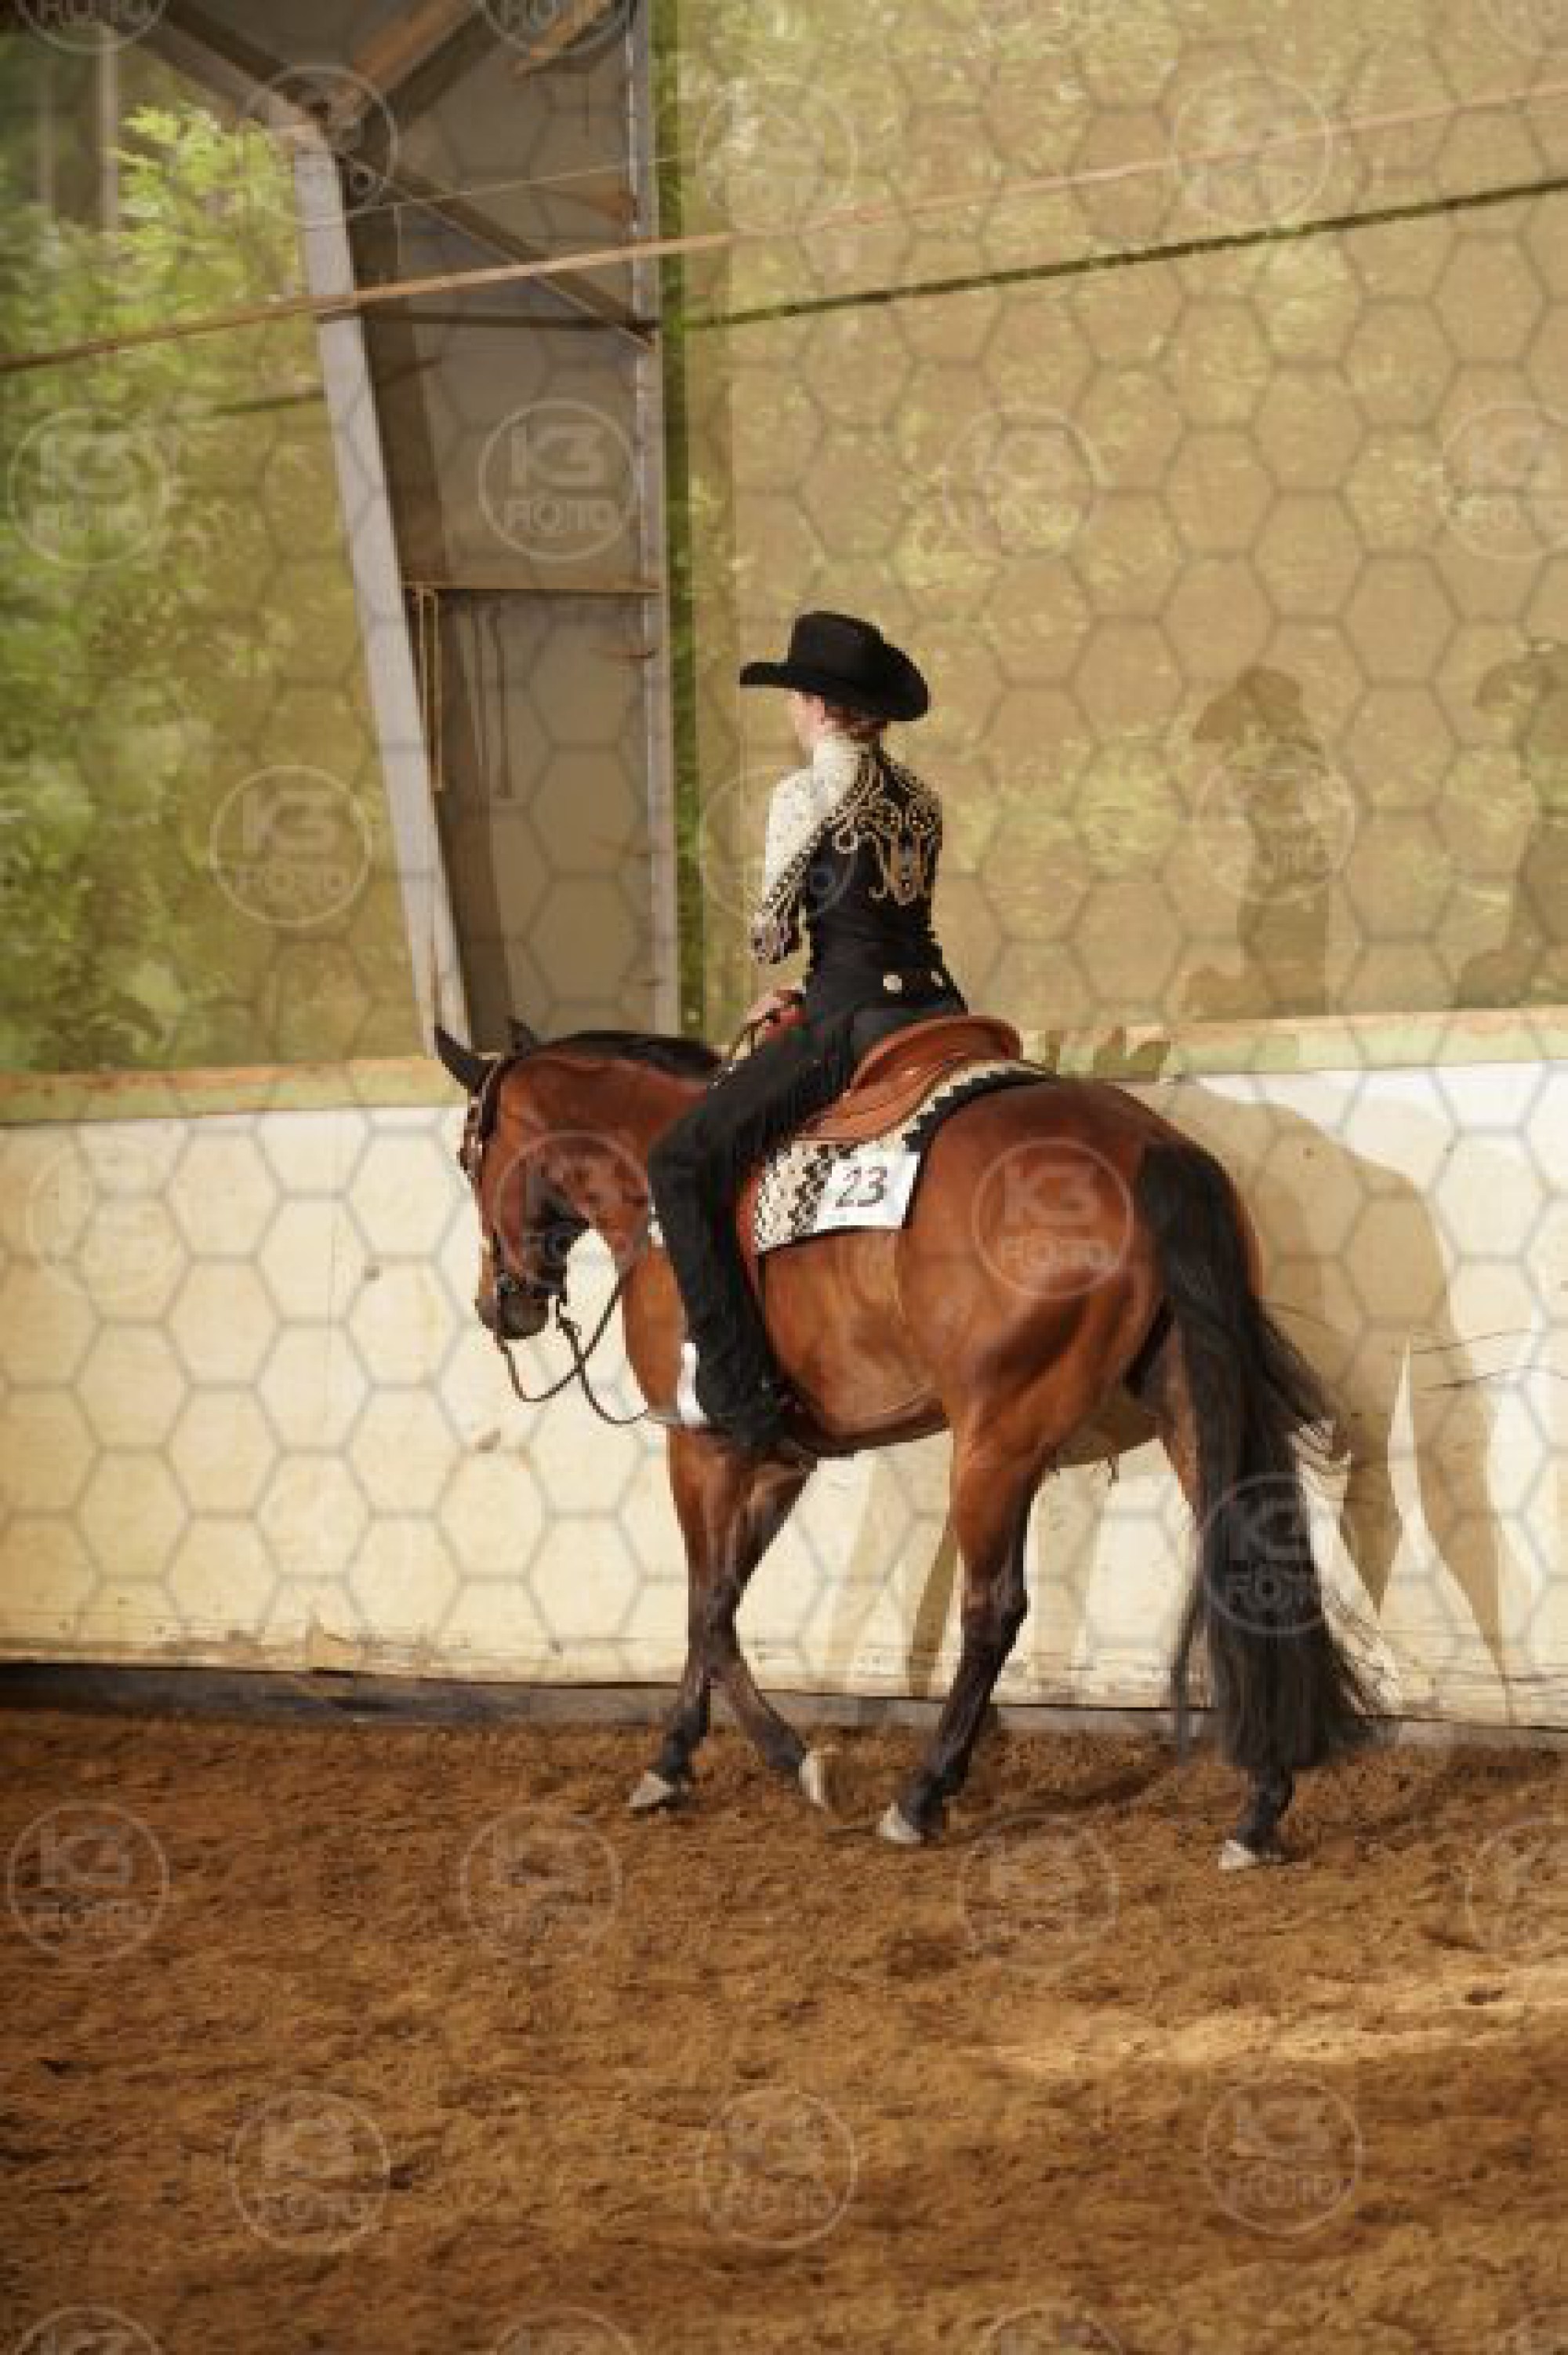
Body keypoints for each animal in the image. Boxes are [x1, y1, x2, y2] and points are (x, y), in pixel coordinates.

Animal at [434, 1017, 1374, 1869]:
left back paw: (920, 1797)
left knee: (993, 1610)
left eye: (469, 1155)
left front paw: (779, 1761)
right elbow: (723, 1598)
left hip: (998, 1439)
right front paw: (680, 1758)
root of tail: (1145, 1144)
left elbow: (706, 1607)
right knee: (1246, 1563)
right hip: (1185, 1397)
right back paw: (1261, 1806)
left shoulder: (703, 1446)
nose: (498, 1304)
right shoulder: (779, 1459)